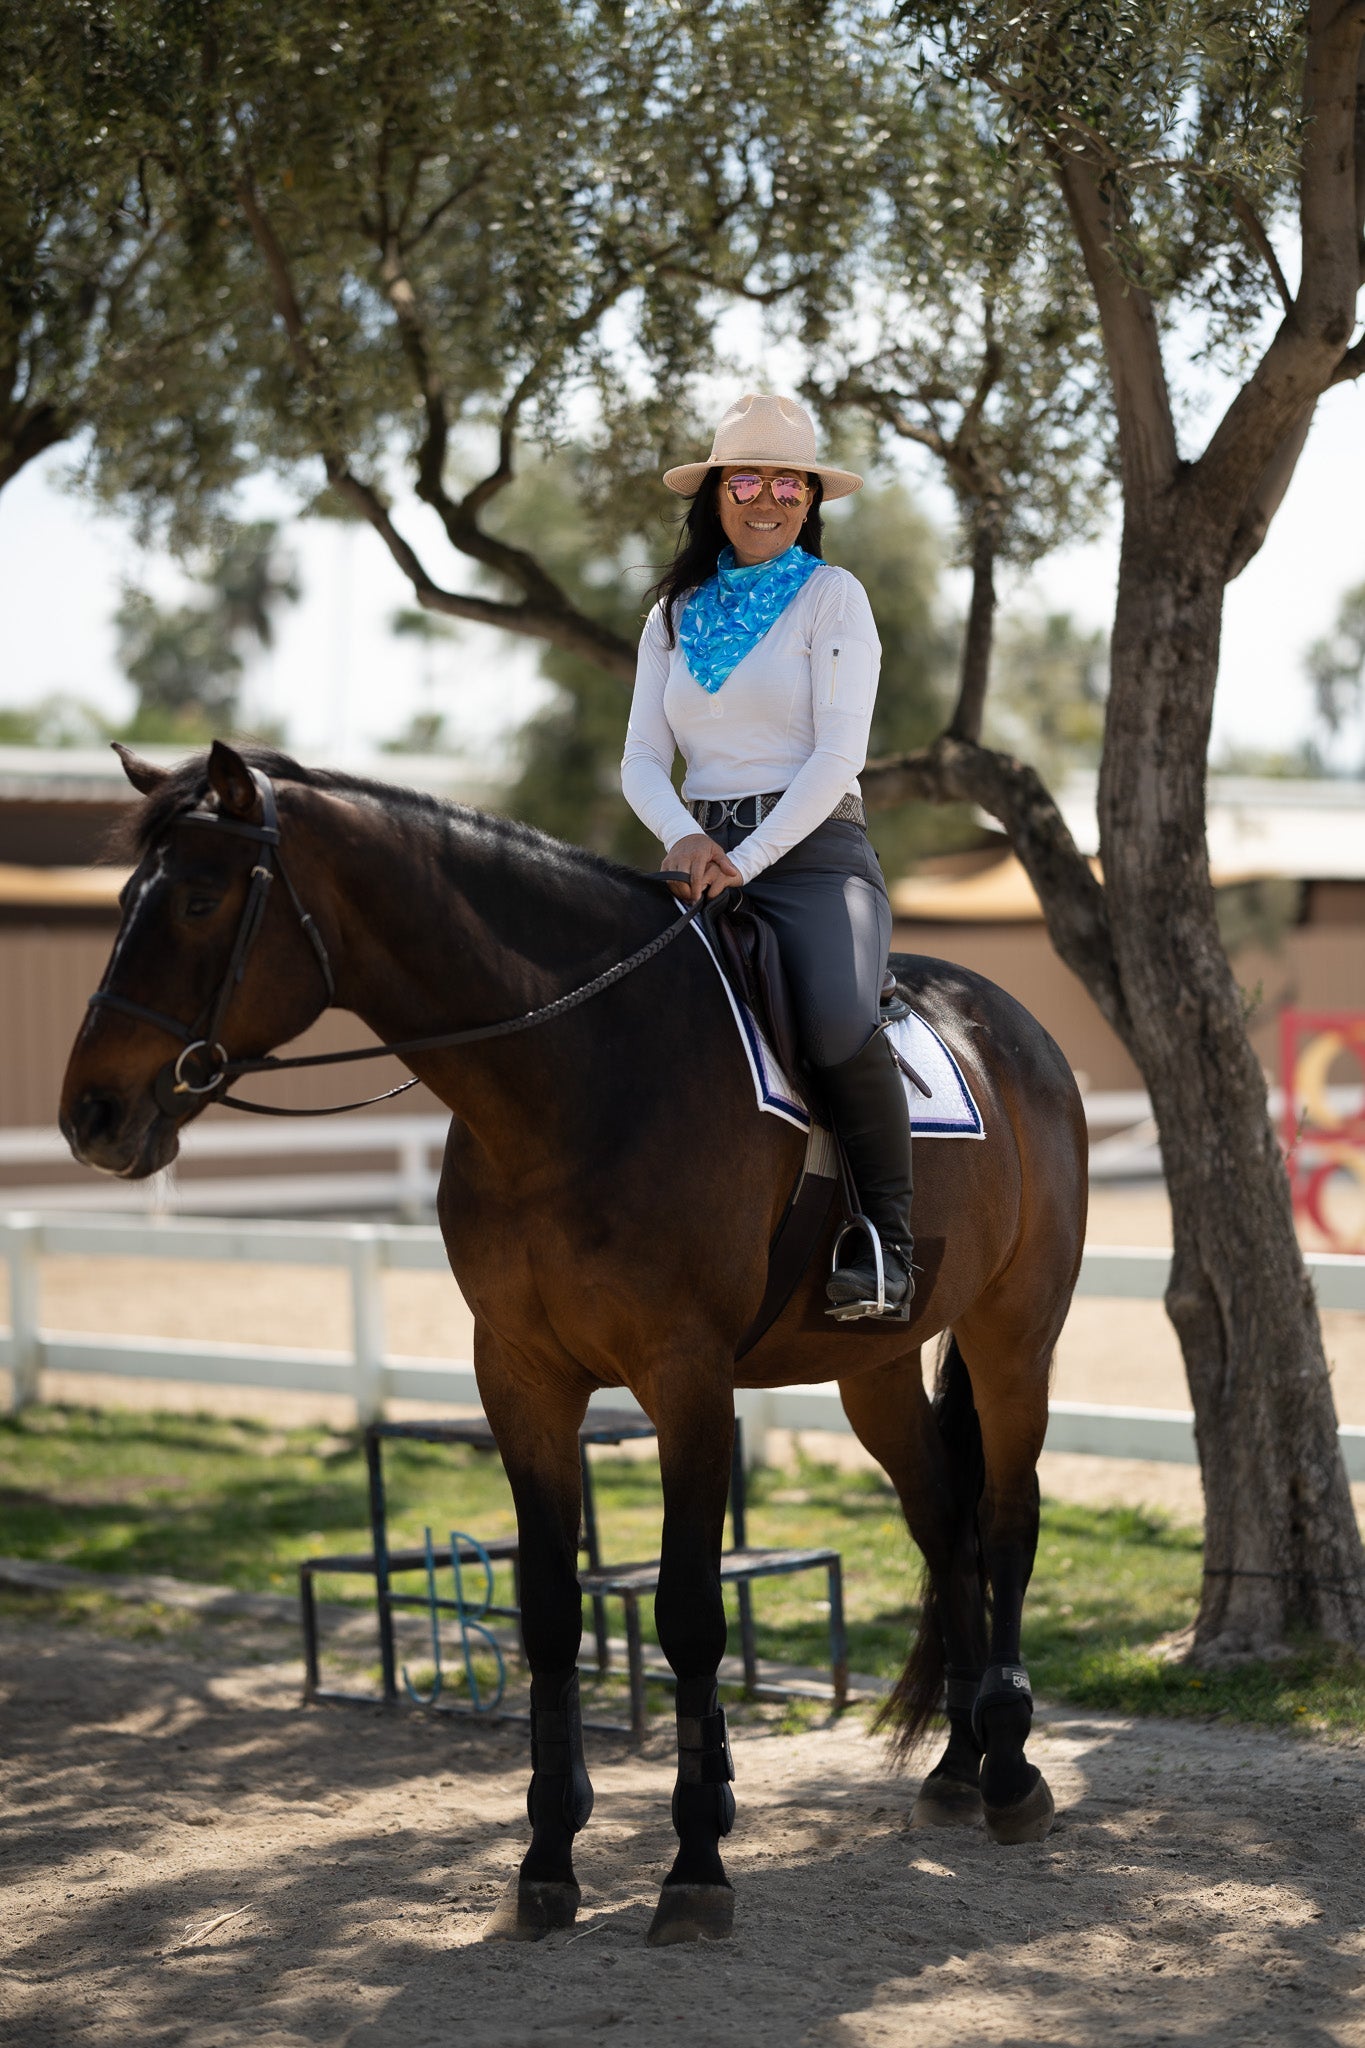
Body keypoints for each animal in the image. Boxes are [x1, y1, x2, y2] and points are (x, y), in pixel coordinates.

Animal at [61, 745, 1088, 1941]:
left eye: (195, 900)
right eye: (124, 903)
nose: (89, 1114)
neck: (578, 1070)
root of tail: (1013, 1025)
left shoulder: (688, 1381)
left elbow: (688, 1615)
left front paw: (695, 1865)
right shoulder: (520, 1377)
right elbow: (548, 1612)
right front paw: (547, 1857)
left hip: (1014, 1332)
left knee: (1006, 1518)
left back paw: (1010, 1772)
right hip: (874, 1365)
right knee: (943, 1524)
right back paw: (959, 1767)